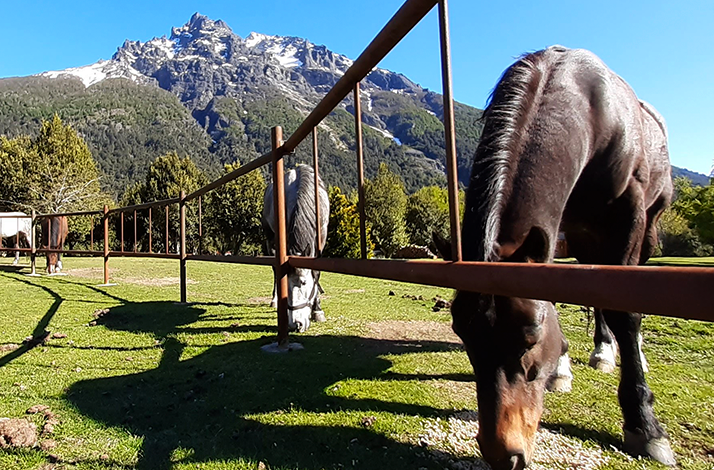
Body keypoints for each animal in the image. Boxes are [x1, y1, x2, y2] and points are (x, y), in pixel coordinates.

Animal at [262, 164, 329, 332]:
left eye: (303, 282)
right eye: (285, 285)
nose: (296, 324)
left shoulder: (322, 236)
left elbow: (316, 272)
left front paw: (317, 310)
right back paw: (274, 300)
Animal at [450, 46, 674, 470]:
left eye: (531, 337)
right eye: (462, 334)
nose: (503, 454)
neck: (592, 108)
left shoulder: (630, 212)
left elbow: (626, 312)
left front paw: (645, 425)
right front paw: (563, 369)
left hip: (645, 230)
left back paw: (627, 357)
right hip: (587, 237)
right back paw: (602, 351)